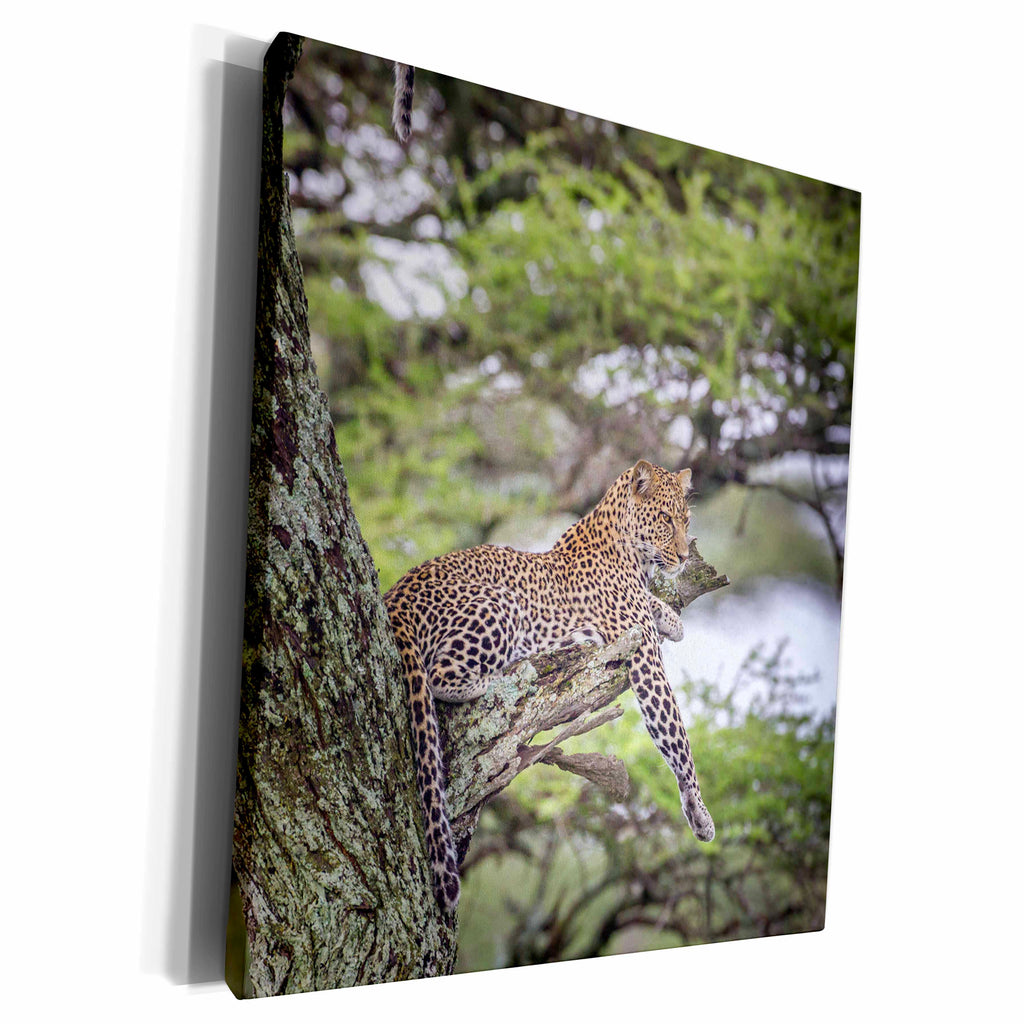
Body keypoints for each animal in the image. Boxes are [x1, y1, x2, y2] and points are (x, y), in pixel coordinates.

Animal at [384, 459, 715, 912]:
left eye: (686, 520)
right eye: (665, 519)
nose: (683, 558)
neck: (630, 553)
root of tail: (395, 597)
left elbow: (654, 605)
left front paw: (672, 617)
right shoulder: (644, 656)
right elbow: (676, 736)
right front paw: (699, 812)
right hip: (501, 603)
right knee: (443, 679)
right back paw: (514, 672)